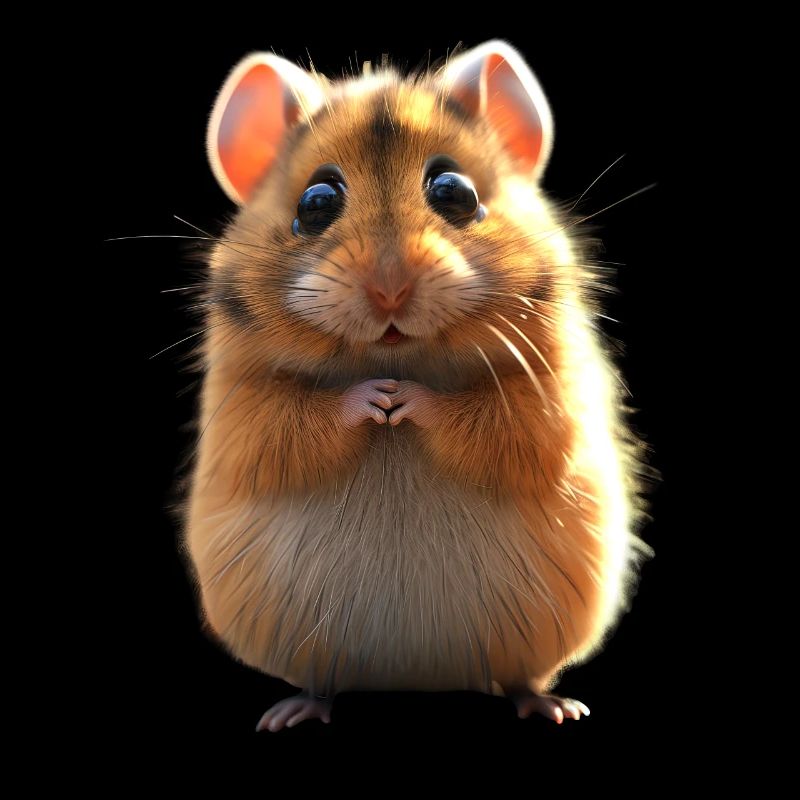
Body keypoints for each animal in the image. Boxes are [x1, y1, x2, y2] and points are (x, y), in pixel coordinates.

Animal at [184, 40, 648, 732]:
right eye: (314, 203)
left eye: (455, 193)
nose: (389, 290)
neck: (399, 354)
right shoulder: (245, 406)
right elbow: (296, 421)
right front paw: (376, 400)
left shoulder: (547, 398)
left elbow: (491, 421)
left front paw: (402, 402)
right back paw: (293, 710)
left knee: (519, 678)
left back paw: (555, 706)